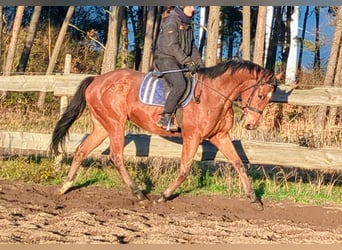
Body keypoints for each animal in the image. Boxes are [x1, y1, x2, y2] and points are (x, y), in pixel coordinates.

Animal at [49, 59, 276, 210]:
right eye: (261, 95)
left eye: (269, 98)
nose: (251, 125)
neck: (213, 95)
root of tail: (96, 79)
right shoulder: (192, 137)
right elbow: (184, 169)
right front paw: (163, 196)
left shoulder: (220, 136)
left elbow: (239, 164)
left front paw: (254, 199)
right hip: (115, 124)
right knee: (116, 156)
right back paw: (140, 195)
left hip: (102, 126)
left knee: (81, 150)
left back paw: (65, 186)